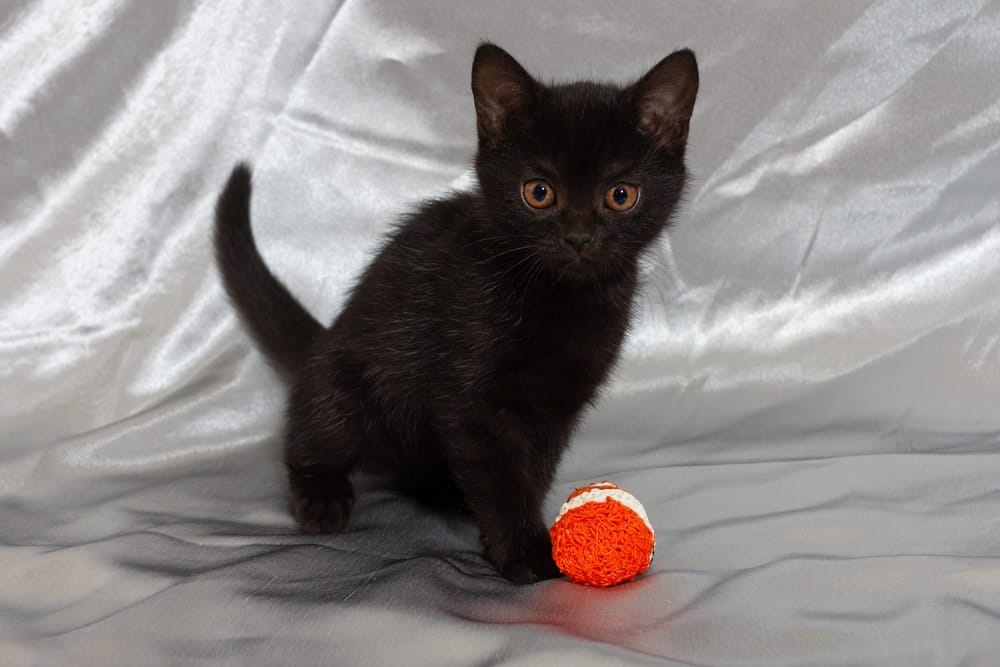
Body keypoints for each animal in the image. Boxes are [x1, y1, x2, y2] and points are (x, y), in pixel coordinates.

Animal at [213, 44, 696, 580]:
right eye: (539, 192)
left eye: (621, 195)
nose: (579, 237)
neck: (561, 299)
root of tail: (326, 338)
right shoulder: (473, 401)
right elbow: (502, 476)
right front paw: (524, 551)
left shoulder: (558, 405)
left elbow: (532, 471)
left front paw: (520, 534)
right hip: (348, 380)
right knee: (316, 430)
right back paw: (321, 493)